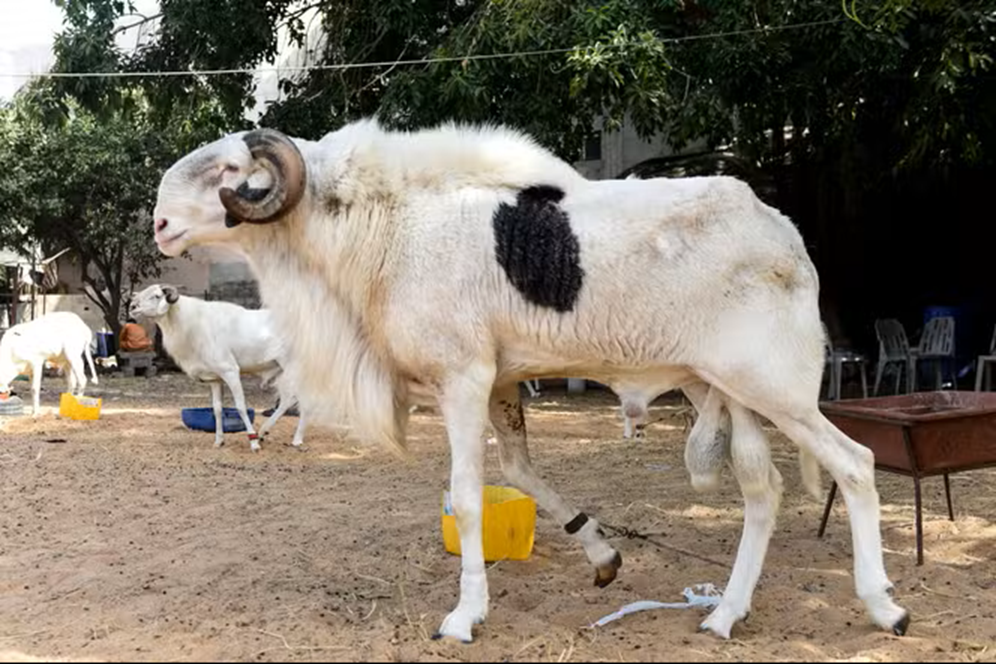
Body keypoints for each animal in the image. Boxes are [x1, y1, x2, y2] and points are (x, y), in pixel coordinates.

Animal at [129, 284, 306, 451]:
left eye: (157, 296)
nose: (132, 307)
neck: (193, 324)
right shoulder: (215, 379)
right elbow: (217, 409)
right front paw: (219, 441)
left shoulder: (230, 371)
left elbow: (241, 407)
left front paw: (253, 442)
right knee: (288, 400)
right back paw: (264, 432)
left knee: (302, 400)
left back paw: (296, 440)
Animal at [150, 119, 909, 643]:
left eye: (229, 169)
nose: (157, 225)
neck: (381, 221)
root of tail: (785, 233)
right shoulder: (500, 385)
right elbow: (519, 471)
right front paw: (602, 553)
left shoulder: (462, 378)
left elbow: (466, 497)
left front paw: (464, 616)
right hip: (724, 389)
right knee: (763, 489)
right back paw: (725, 614)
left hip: (777, 387)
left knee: (855, 463)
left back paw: (884, 606)